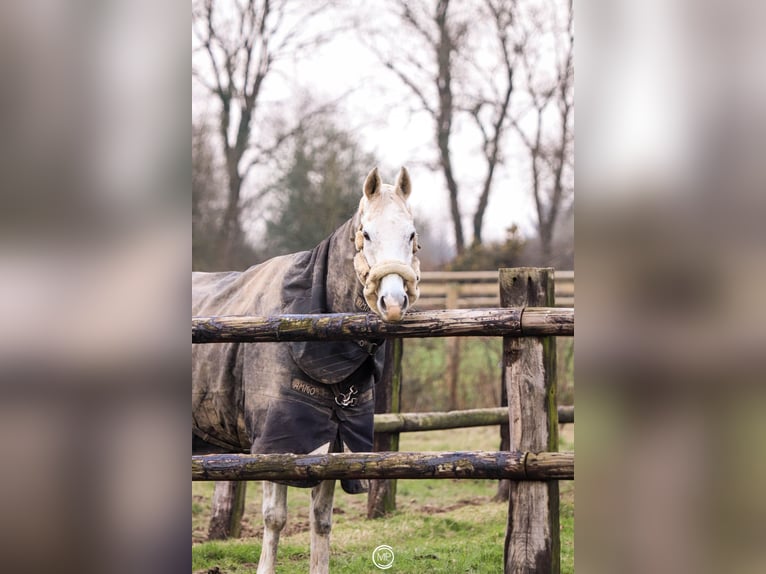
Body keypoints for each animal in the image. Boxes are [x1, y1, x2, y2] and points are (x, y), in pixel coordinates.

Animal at [191, 168, 420, 574]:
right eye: (366, 234)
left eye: (411, 234)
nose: (393, 303)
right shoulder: (273, 446)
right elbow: (274, 518)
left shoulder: (335, 446)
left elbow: (321, 518)